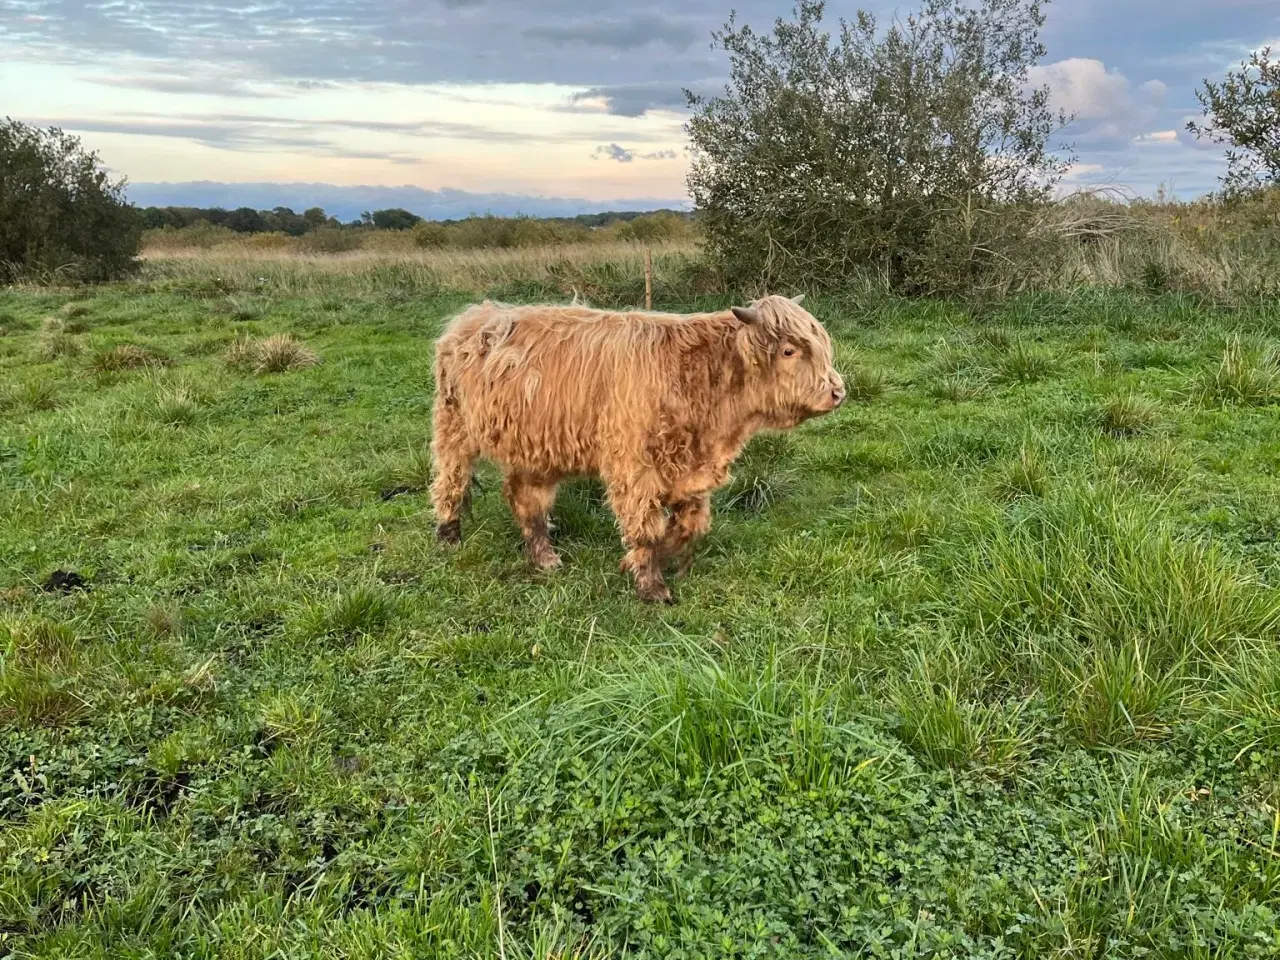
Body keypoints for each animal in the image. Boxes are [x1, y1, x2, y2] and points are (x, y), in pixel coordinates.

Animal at [435, 296, 844, 604]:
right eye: (789, 350)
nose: (838, 392)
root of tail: (473, 315)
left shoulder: (691, 470)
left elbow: (690, 526)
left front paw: (661, 557)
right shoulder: (635, 468)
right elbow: (646, 529)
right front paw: (651, 586)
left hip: (536, 445)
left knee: (526, 498)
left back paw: (545, 557)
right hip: (453, 426)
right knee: (450, 480)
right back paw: (449, 536)